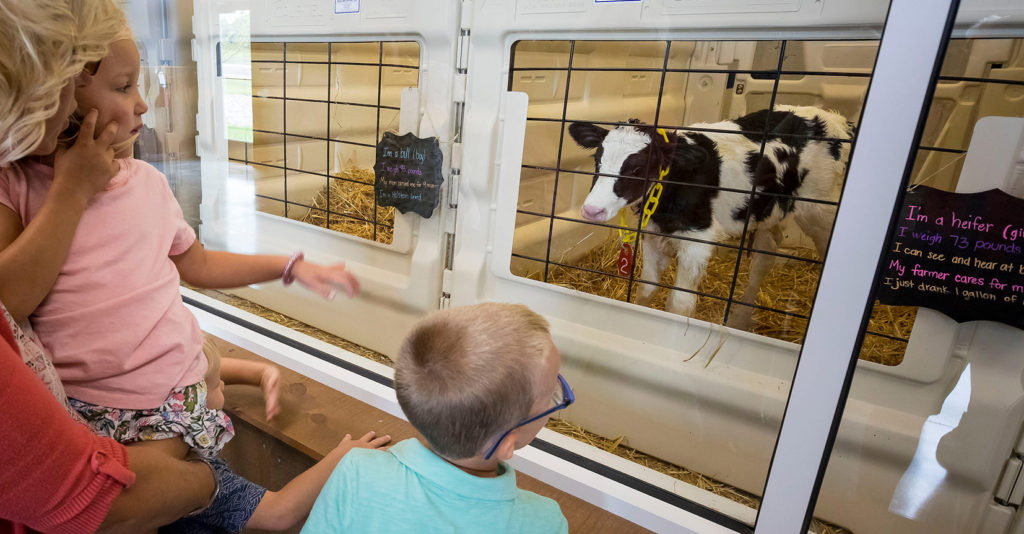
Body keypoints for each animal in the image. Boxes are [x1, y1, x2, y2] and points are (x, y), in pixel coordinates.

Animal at [573, 105, 851, 323]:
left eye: (637, 168)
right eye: (597, 160)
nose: (592, 209)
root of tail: (837, 119)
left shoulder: (698, 239)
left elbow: (680, 303)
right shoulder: (654, 232)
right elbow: (647, 289)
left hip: (820, 210)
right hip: (766, 211)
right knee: (766, 253)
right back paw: (740, 318)